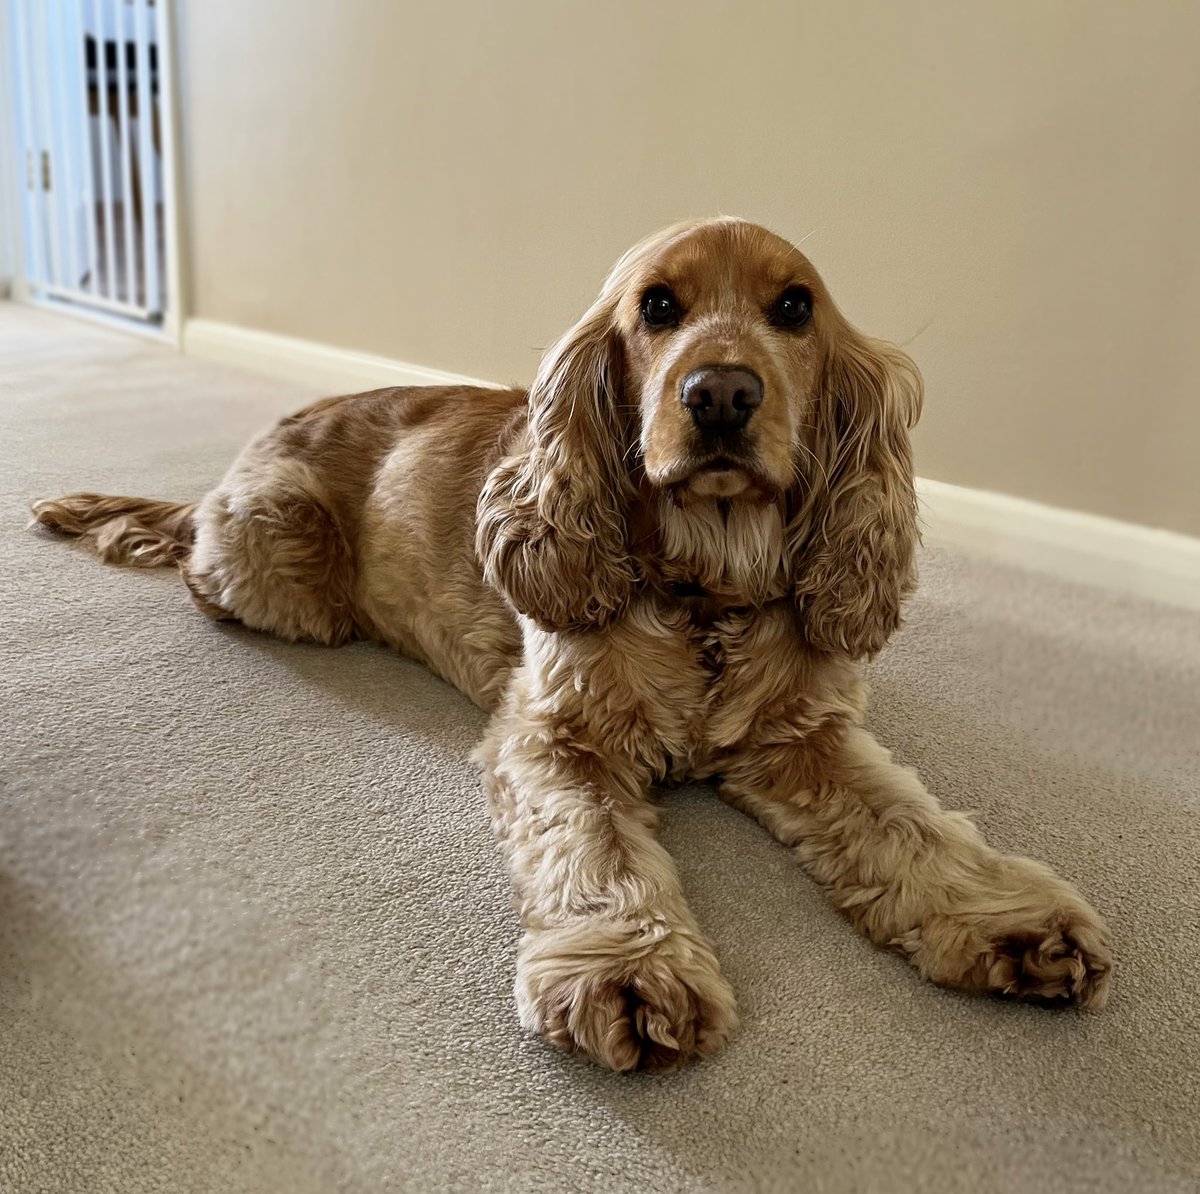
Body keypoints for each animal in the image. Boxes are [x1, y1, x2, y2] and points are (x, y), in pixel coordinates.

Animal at [30, 217, 1113, 1075]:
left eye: (795, 308)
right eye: (659, 306)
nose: (722, 393)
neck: (706, 583)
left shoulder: (805, 736)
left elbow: (913, 826)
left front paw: (1012, 921)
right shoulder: (556, 734)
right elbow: (595, 849)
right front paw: (631, 972)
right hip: (285, 569)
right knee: (199, 564)